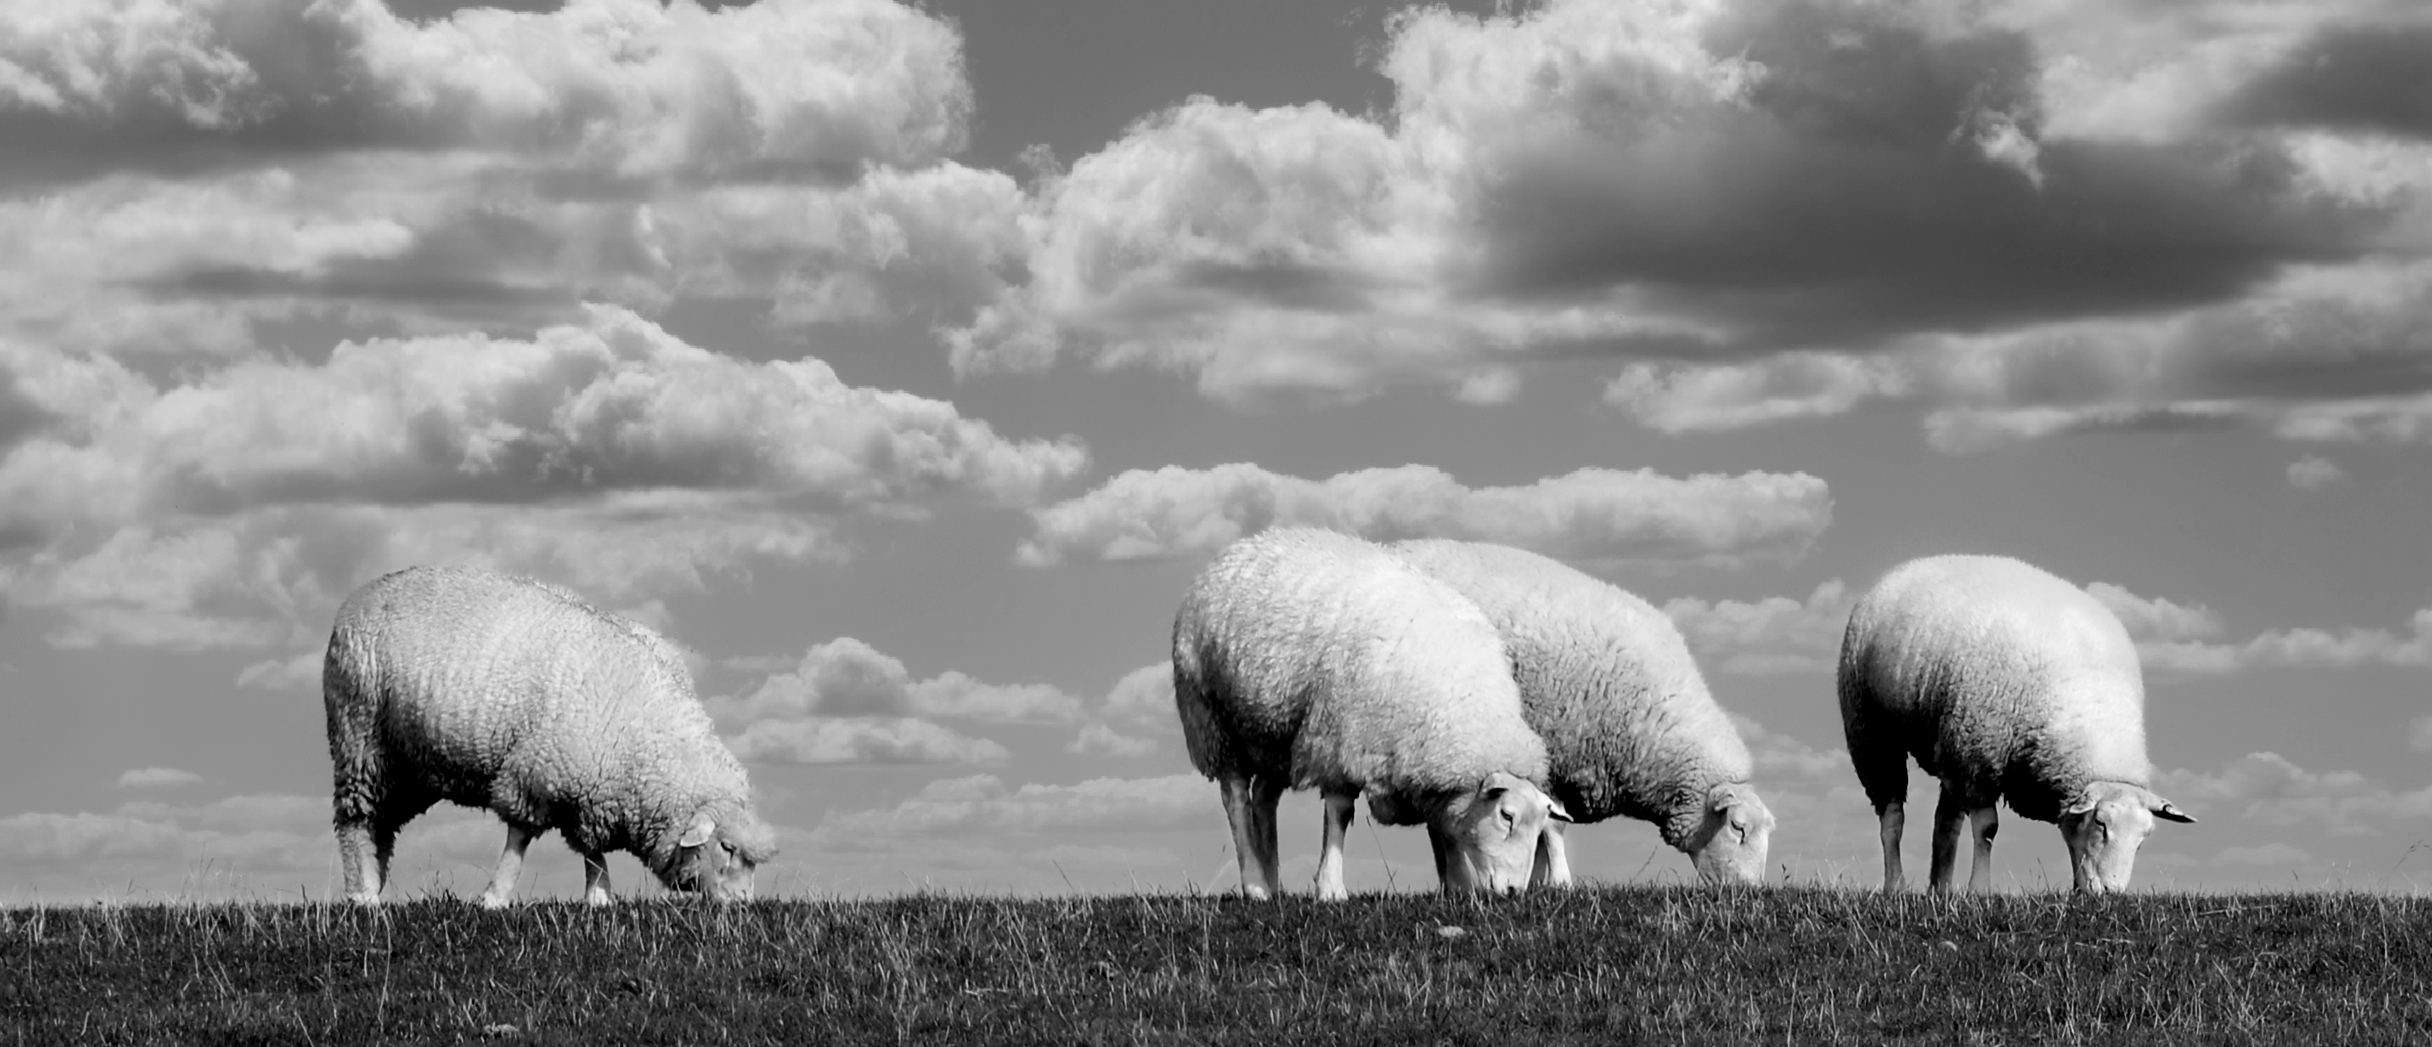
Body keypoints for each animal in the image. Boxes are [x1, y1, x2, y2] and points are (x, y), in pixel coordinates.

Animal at [323, 566, 773, 908]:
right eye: (726, 848)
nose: (743, 906)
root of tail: (358, 597)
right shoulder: (536, 773)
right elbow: (519, 840)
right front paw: (495, 898)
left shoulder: (589, 786)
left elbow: (590, 847)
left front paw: (599, 897)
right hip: (360, 738)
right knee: (355, 821)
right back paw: (363, 894)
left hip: (407, 767)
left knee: (382, 825)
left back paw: (374, 881)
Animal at [1177, 529, 1575, 903]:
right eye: (1506, 816)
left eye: (1541, 825)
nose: (1513, 891)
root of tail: (1245, 545)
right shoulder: (1340, 738)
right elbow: (1340, 813)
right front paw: (1331, 888)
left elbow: (1444, 824)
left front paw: (1460, 885)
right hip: (1212, 721)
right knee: (1235, 798)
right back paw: (1256, 884)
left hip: (1273, 733)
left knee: (1263, 796)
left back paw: (1272, 880)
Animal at [1400, 536, 1780, 889]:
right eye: (1737, 827)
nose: (1752, 891)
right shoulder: (1552, 756)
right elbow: (1553, 824)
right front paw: (1559, 882)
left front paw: (1538, 882)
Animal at [1828, 553, 2198, 898]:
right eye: (2101, 824)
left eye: (2143, 839)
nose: (2111, 892)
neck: (2092, 711)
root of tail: (1913, 565)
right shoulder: (1979, 763)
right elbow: (1988, 829)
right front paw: (1979, 889)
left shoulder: (1974, 763)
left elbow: (2068, 837)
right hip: (1872, 730)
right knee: (1892, 816)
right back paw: (1896, 884)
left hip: (1950, 746)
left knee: (1945, 824)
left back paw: (1940, 890)